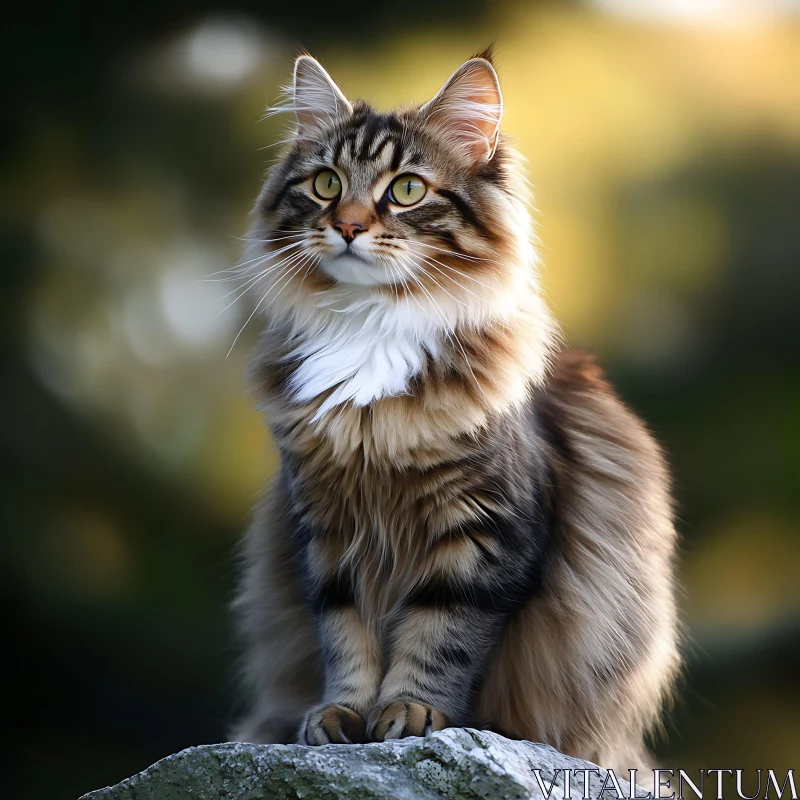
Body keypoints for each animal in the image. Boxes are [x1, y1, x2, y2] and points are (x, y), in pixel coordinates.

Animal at [228, 47, 680, 772]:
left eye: (406, 190)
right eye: (325, 183)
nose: (347, 225)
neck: (372, 335)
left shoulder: (484, 532)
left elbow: (441, 636)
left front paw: (411, 714)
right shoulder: (324, 531)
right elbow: (345, 636)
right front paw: (339, 717)